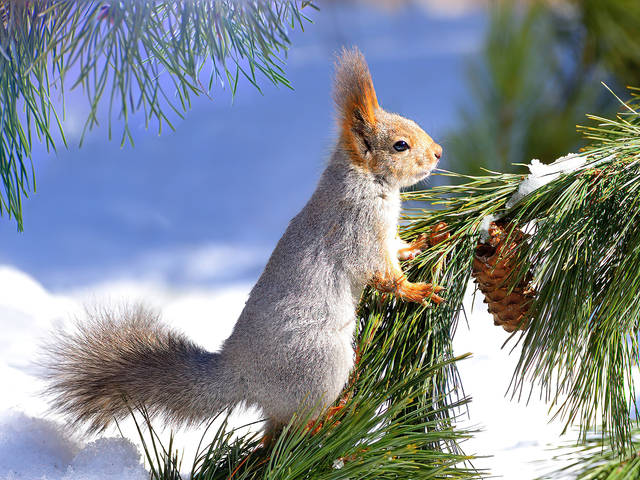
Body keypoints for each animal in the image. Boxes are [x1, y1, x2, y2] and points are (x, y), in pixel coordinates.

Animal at [44, 48, 444, 441]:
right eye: (400, 146)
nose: (439, 151)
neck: (366, 180)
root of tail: (243, 376)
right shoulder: (357, 233)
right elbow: (383, 275)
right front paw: (417, 290)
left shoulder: (384, 235)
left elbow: (398, 248)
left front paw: (429, 238)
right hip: (321, 362)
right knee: (292, 424)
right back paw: (328, 416)